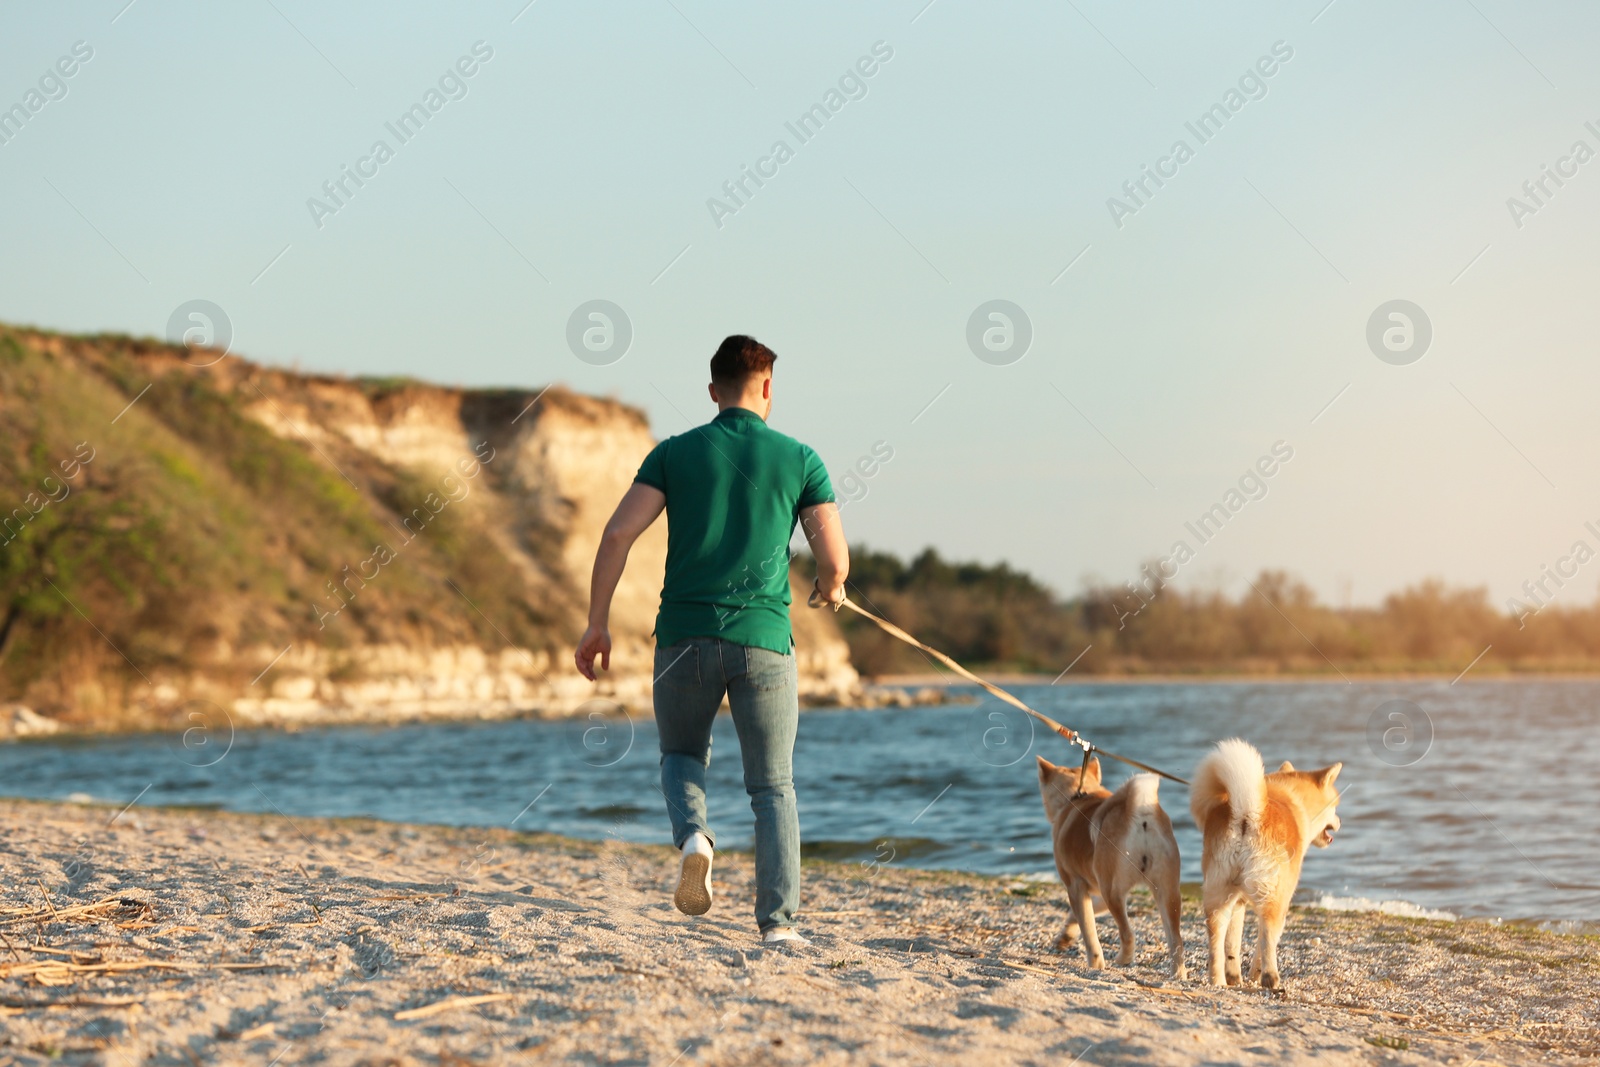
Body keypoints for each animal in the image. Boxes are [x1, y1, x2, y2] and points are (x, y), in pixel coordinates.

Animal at [1036, 751, 1190, 979]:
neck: (1079, 796)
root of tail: (1140, 815)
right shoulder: (1095, 890)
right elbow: (1083, 914)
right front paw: (1066, 936)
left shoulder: (1075, 886)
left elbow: (1089, 930)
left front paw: (1095, 963)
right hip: (1167, 892)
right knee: (1176, 940)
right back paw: (1178, 974)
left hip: (1113, 892)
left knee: (1128, 934)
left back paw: (1123, 959)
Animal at [1196, 739, 1344, 991]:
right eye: (1335, 806)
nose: (1340, 821)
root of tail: (1247, 814)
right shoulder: (1282, 901)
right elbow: (1265, 943)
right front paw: (1255, 975)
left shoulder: (1238, 902)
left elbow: (1232, 945)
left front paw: (1235, 976)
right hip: (1271, 898)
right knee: (1266, 939)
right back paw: (1270, 978)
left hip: (1219, 895)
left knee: (1216, 942)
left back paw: (1218, 981)